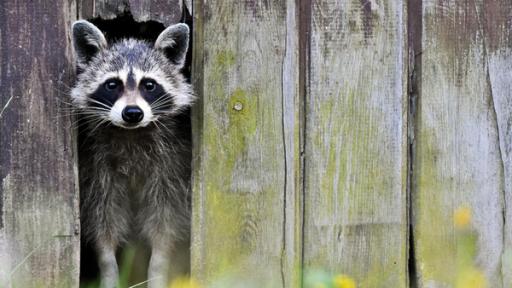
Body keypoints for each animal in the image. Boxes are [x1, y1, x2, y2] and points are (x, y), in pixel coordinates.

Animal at [70, 20, 194, 288]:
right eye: (112, 84)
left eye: (149, 85)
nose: (133, 113)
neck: (131, 133)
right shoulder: (96, 168)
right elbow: (103, 218)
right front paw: (108, 267)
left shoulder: (172, 166)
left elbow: (165, 221)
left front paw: (158, 268)